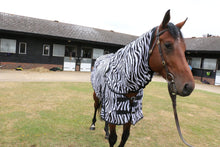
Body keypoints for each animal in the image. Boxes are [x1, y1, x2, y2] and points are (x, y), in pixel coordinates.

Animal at [89, 9, 194, 146]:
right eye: (168, 44)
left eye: (184, 48)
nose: (189, 86)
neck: (125, 83)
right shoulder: (115, 109)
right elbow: (113, 138)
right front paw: (108, 134)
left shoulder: (130, 113)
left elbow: (124, 136)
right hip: (97, 95)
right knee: (96, 106)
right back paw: (92, 125)